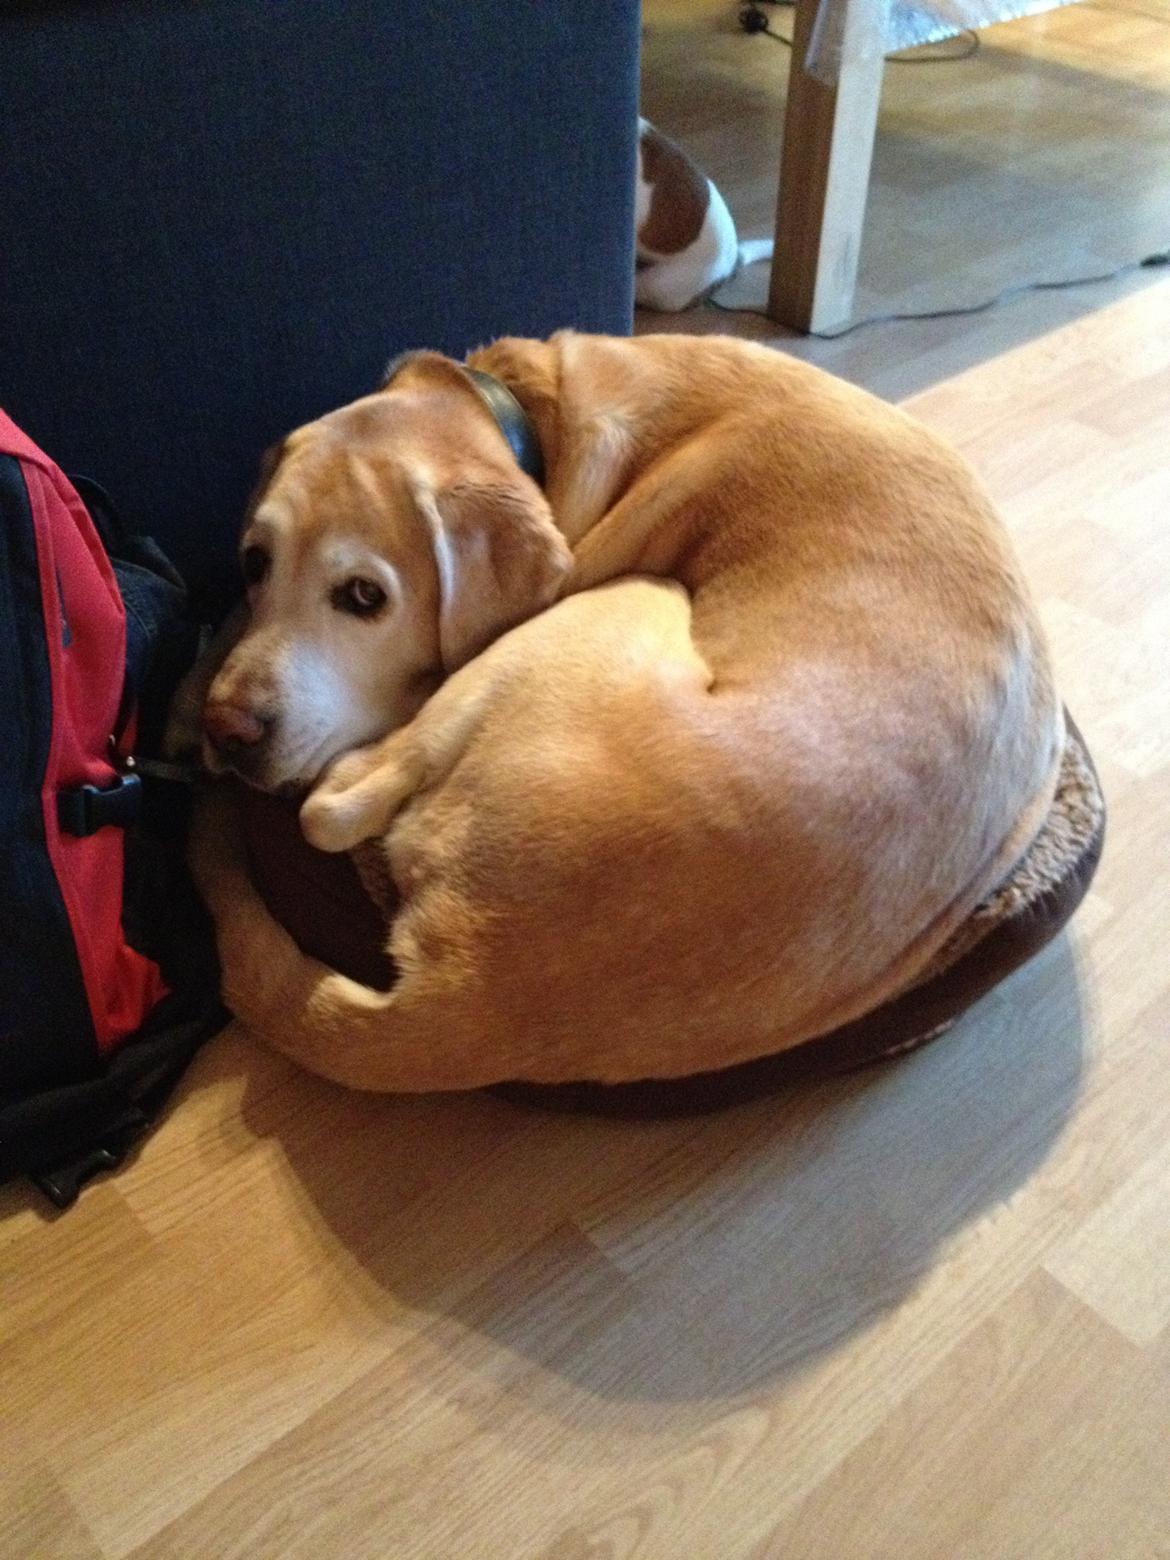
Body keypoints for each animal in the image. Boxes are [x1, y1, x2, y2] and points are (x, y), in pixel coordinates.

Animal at [190, 335, 1060, 1092]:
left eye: (364, 597)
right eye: (254, 562)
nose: (224, 730)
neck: (531, 412)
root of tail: (479, 992)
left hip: (627, 598)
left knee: (335, 806)